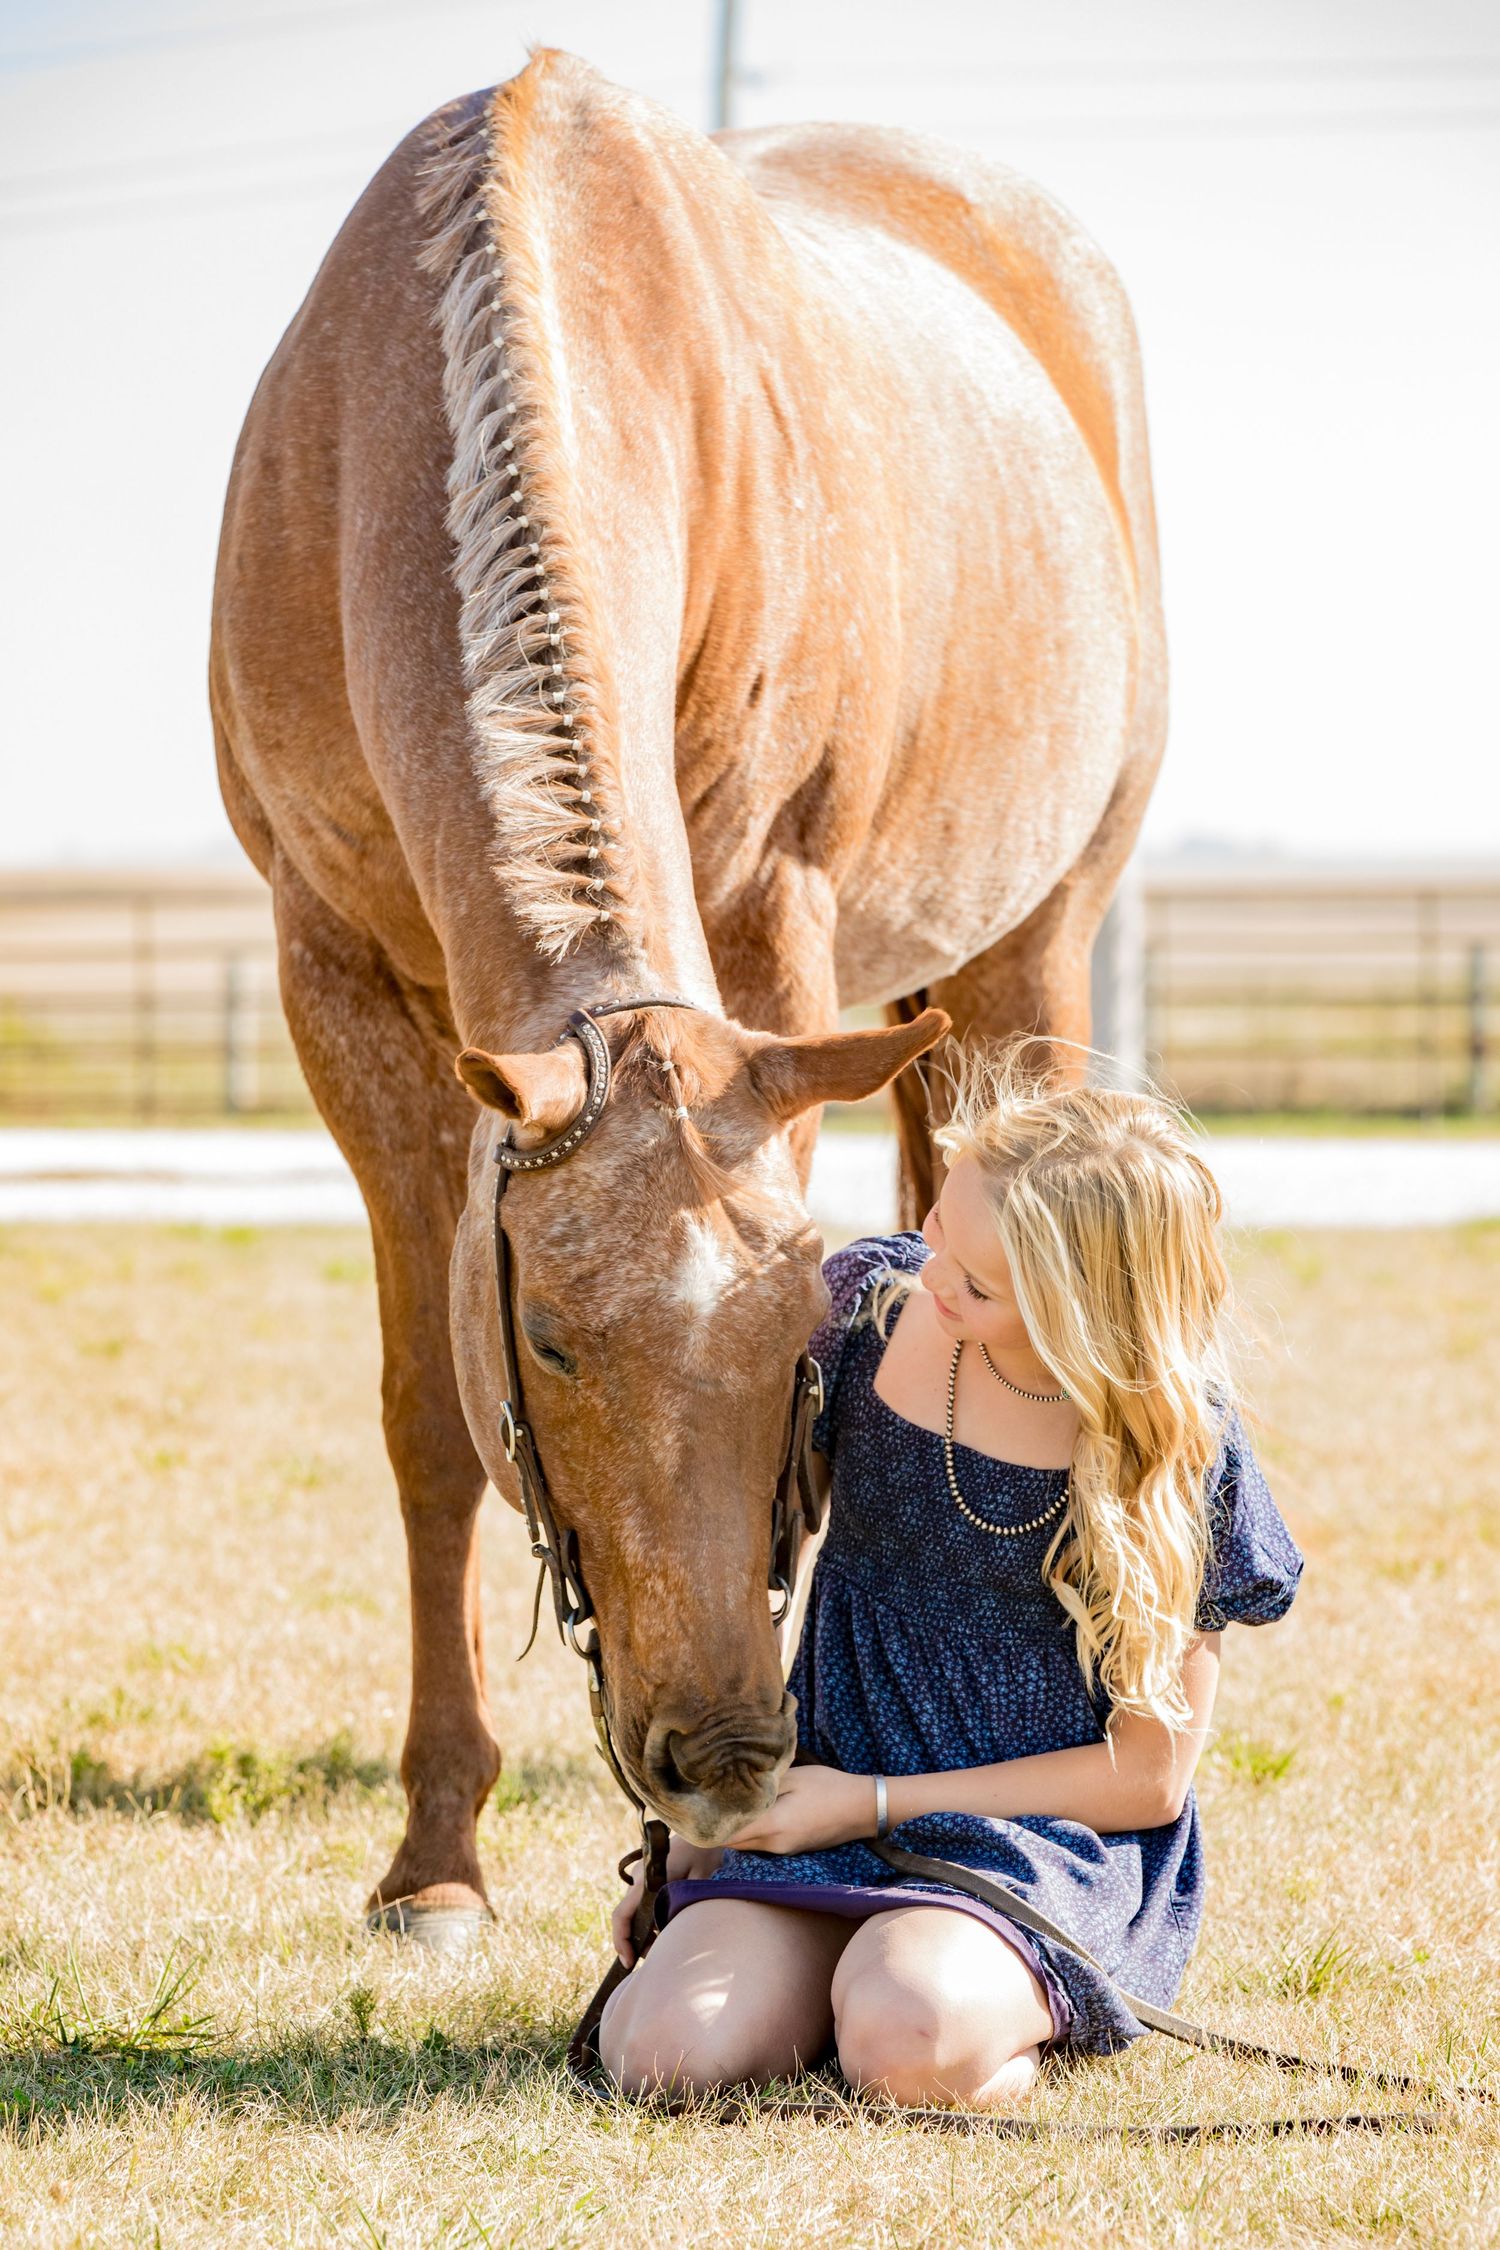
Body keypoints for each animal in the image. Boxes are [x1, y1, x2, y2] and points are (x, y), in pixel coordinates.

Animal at [209, 45, 1165, 1940]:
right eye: (555, 1342)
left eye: (796, 1341)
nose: (723, 1756)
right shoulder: (330, 974)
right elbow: (425, 1423)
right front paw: (437, 1855)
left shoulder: (767, 917)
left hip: (1037, 941)